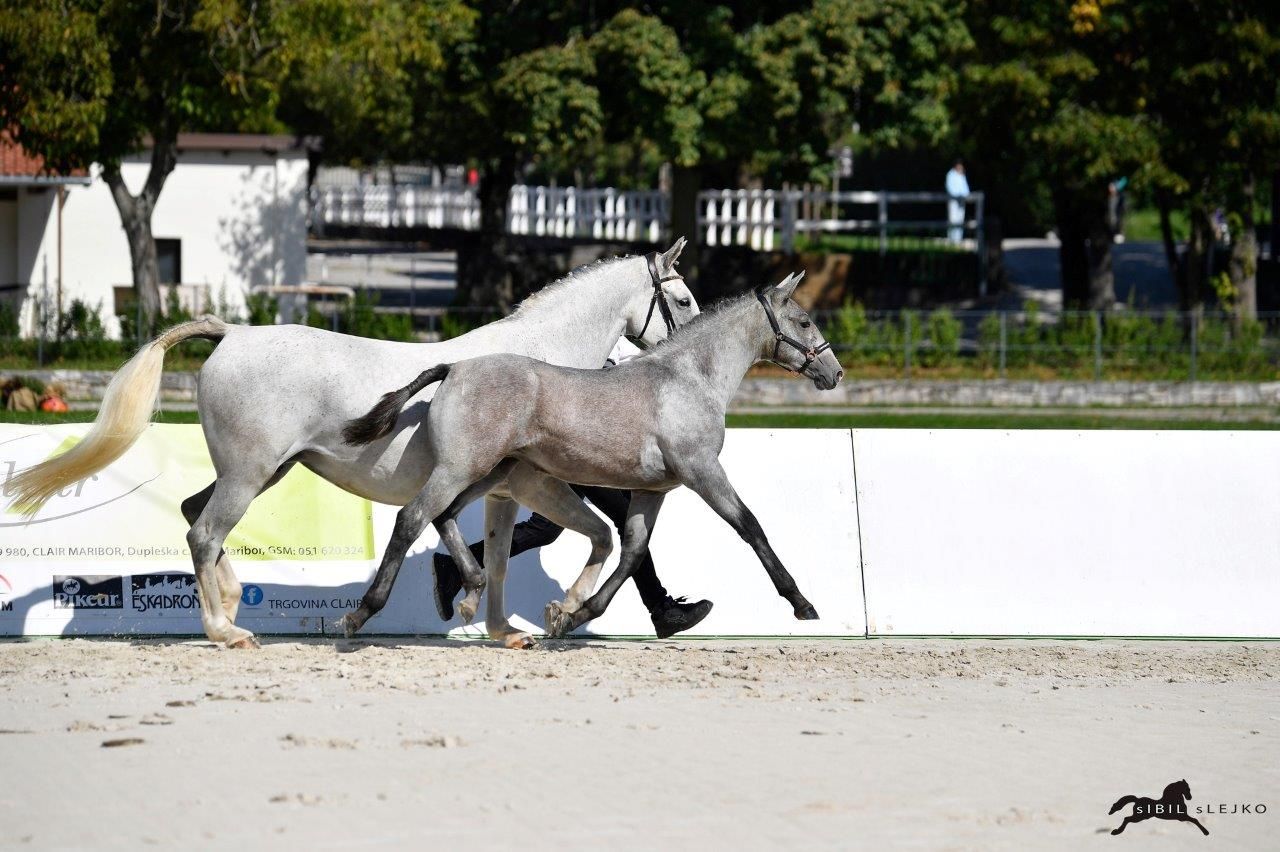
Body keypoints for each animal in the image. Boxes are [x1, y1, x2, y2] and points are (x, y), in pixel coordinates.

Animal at [6, 240, 699, 649]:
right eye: (684, 299)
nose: (688, 359)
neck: (535, 364)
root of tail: (231, 334)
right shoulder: (526, 482)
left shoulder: (503, 490)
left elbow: (501, 556)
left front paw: (502, 630)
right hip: (251, 475)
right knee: (203, 531)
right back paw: (225, 631)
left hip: (266, 471)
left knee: (192, 515)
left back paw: (230, 606)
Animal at [339, 271, 843, 645]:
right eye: (803, 322)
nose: (834, 372)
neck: (686, 378)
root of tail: (454, 368)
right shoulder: (702, 471)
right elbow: (750, 527)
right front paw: (802, 604)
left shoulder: (652, 489)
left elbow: (633, 552)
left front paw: (572, 616)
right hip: (461, 468)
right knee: (412, 517)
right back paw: (361, 615)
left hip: (487, 472)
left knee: (443, 517)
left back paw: (466, 593)